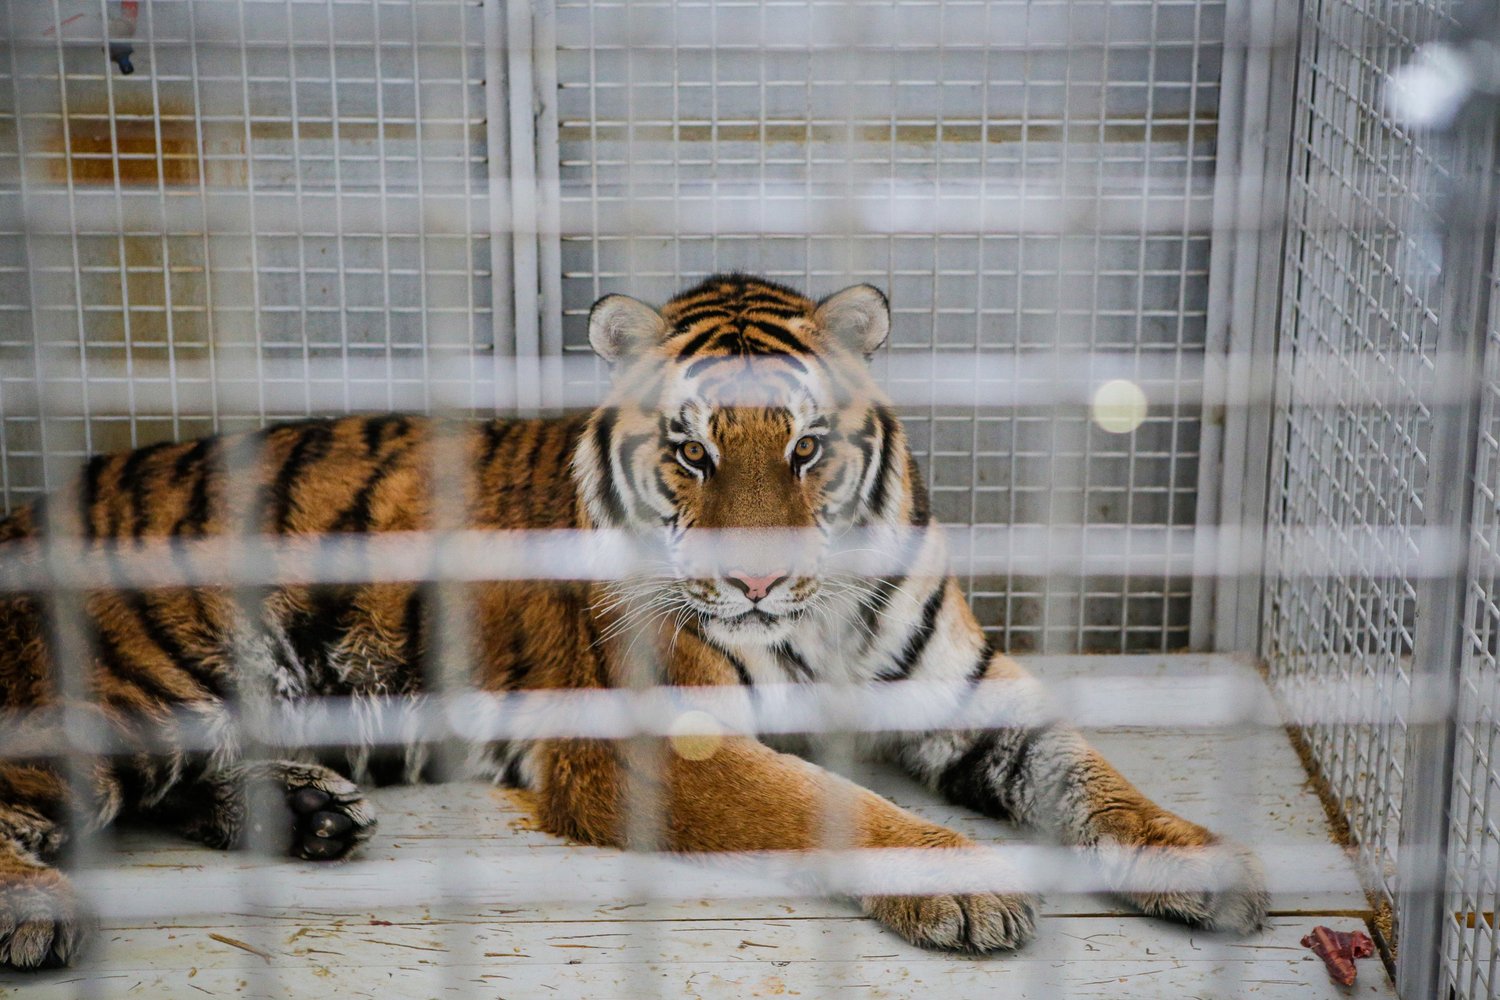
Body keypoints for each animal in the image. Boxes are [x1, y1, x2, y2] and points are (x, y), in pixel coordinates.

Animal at [0, 274, 1266, 971]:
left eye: (807, 447)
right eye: (689, 451)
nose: (752, 579)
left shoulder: (971, 694)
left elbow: (1093, 779)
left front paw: (1204, 860)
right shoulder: (652, 742)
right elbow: (825, 802)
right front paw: (971, 885)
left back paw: (307, 812)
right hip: (129, 691)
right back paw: (40, 912)